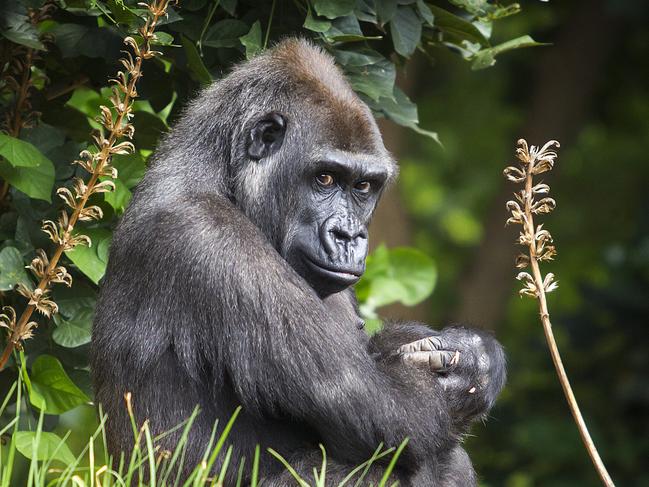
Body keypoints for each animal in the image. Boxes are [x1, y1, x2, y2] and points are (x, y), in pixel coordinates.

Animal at [91, 39, 506, 487]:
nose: (348, 236)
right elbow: (393, 411)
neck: (218, 170)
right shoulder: (207, 238)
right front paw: (469, 370)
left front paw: (477, 358)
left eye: (363, 186)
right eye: (324, 178)